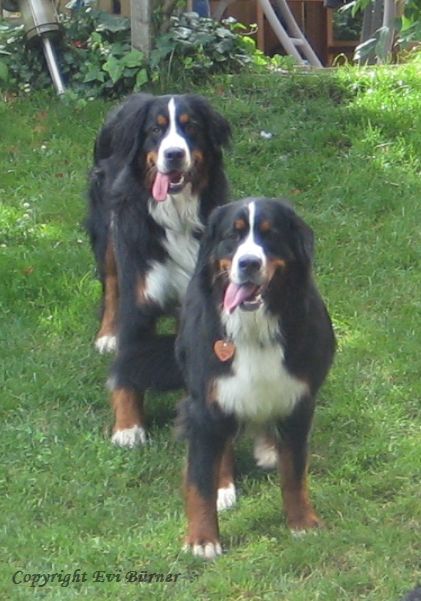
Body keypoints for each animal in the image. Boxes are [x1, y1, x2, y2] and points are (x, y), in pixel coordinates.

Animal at [86, 93, 231, 448]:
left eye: (191, 126)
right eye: (156, 129)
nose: (174, 154)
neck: (176, 216)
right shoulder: (138, 298)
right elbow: (127, 367)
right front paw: (128, 427)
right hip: (108, 233)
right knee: (111, 285)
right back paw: (107, 335)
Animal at [176, 197, 336, 559]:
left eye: (270, 234)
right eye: (232, 236)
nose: (248, 263)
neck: (254, 328)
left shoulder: (298, 402)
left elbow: (294, 472)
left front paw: (302, 522)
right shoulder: (207, 403)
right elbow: (200, 479)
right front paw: (202, 539)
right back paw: (224, 486)